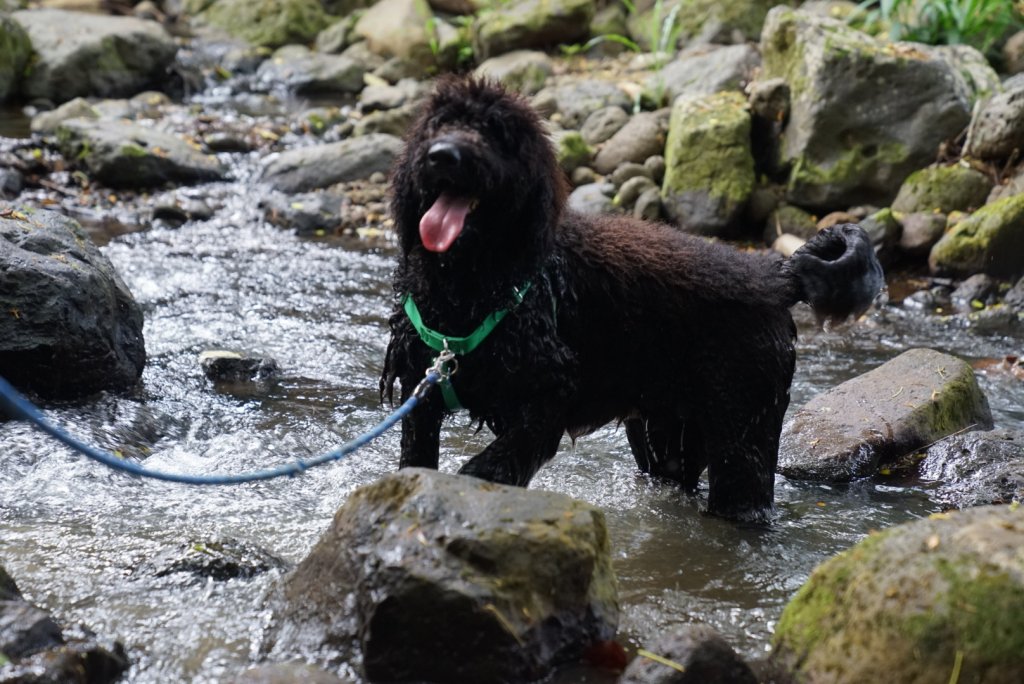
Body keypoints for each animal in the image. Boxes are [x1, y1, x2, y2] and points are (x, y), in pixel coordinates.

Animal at [380, 76, 884, 524]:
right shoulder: (421, 393)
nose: (443, 155)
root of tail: (776, 274)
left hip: (744, 429)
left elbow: (489, 466)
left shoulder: (546, 400)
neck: (471, 287)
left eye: (496, 131)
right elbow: (418, 458)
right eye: (437, 124)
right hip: (666, 431)